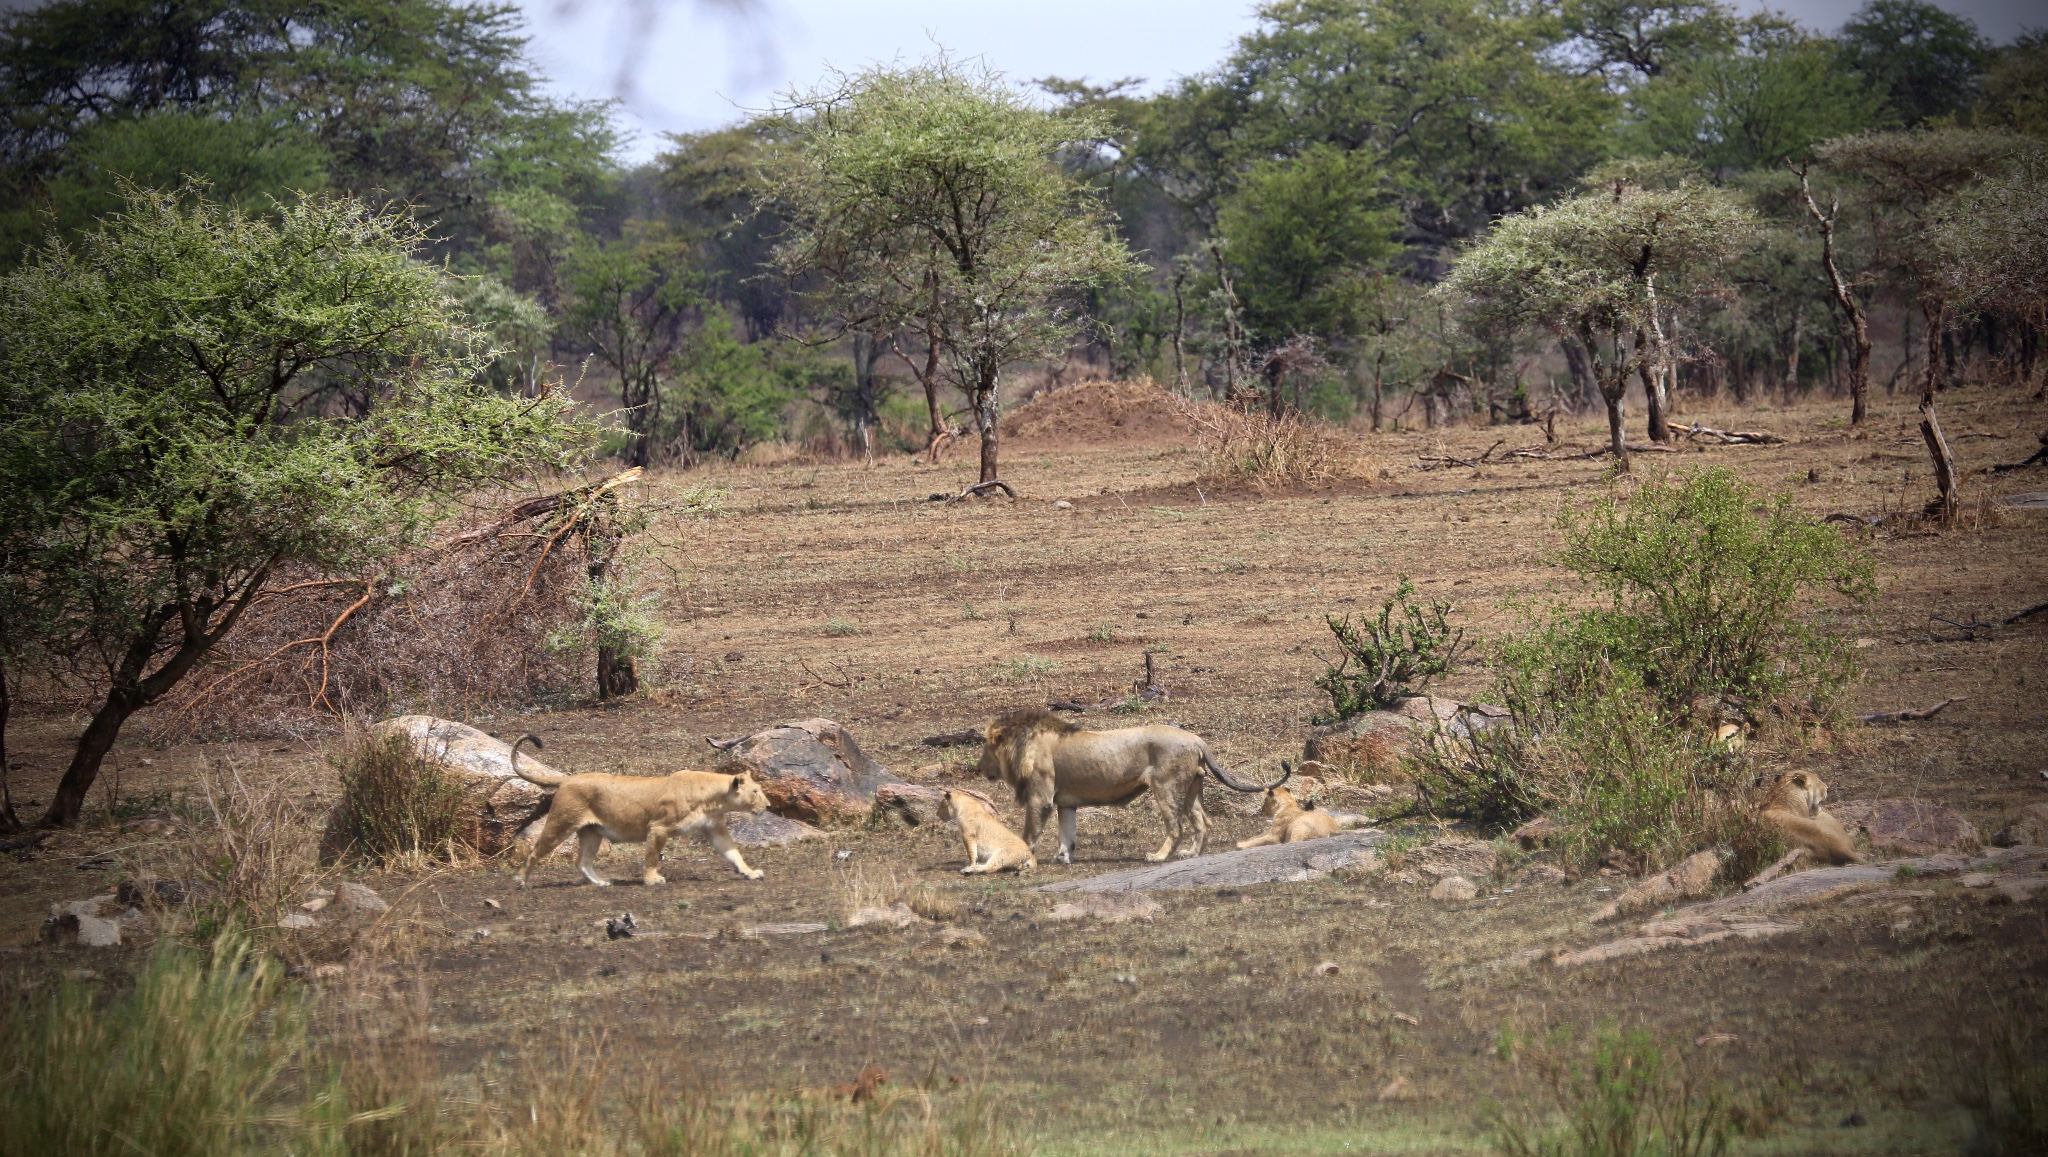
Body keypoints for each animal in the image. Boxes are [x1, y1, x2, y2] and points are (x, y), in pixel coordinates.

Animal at [507, 729, 770, 884]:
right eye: (756, 791)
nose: (768, 805)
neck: (713, 798)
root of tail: (567, 779)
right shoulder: (658, 827)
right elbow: (652, 856)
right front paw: (652, 879)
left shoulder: (714, 827)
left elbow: (732, 852)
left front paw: (750, 872)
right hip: (562, 822)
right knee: (536, 850)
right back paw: (520, 880)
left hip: (592, 832)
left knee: (582, 862)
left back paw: (600, 882)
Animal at [970, 708, 1286, 860]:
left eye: (985, 747)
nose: (978, 768)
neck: (1022, 745)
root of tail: (1197, 739)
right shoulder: (1065, 804)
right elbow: (1067, 835)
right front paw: (1063, 857)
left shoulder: (1041, 798)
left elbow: (1028, 833)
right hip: (1192, 788)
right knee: (1202, 823)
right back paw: (1190, 854)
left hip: (1166, 786)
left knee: (1177, 827)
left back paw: (1158, 857)